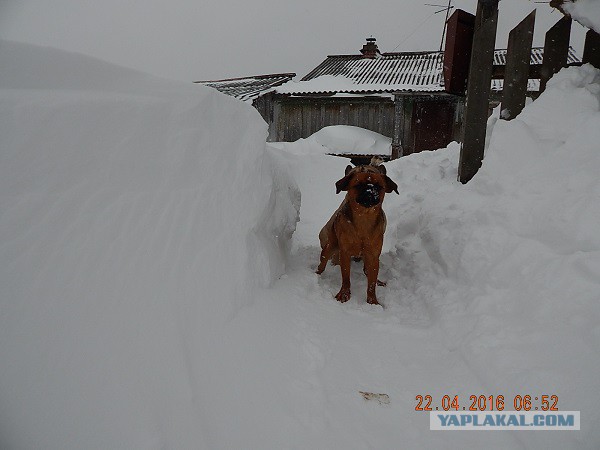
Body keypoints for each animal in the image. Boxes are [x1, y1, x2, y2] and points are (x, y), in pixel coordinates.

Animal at [316, 160, 396, 304]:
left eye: (379, 186)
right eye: (358, 184)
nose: (370, 190)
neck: (364, 217)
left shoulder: (373, 256)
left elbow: (371, 282)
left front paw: (372, 301)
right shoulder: (345, 253)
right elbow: (346, 277)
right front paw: (344, 294)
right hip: (330, 246)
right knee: (322, 263)